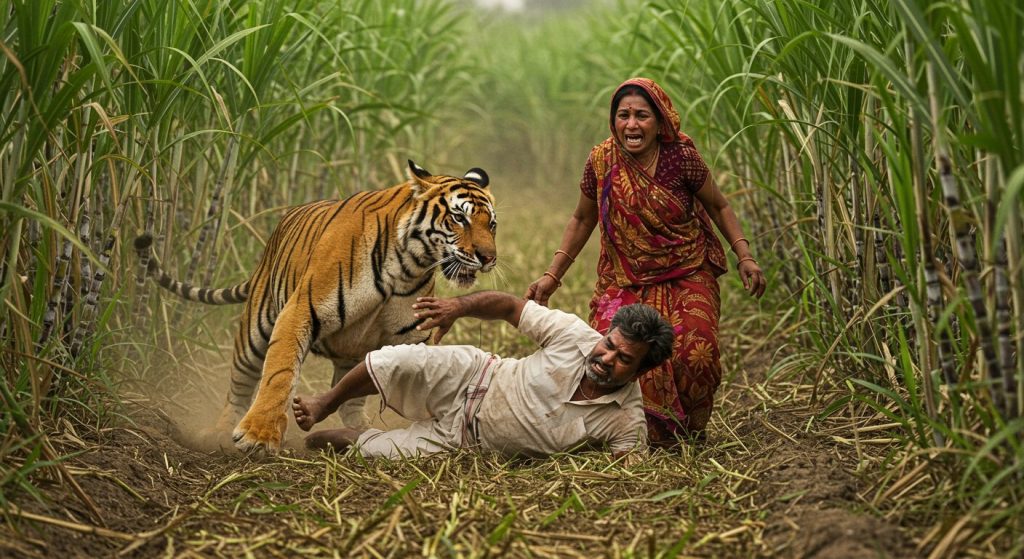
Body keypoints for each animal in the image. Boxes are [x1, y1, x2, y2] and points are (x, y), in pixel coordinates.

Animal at [134, 160, 497, 453]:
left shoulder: (414, 334)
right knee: (239, 385)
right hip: (253, 331)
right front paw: (259, 435)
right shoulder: (300, 310)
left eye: (491, 224)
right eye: (459, 218)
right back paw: (222, 432)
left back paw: (359, 428)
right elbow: (279, 373)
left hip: (353, 352)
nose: (489, 257)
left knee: (352, 395)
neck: (409, 266)